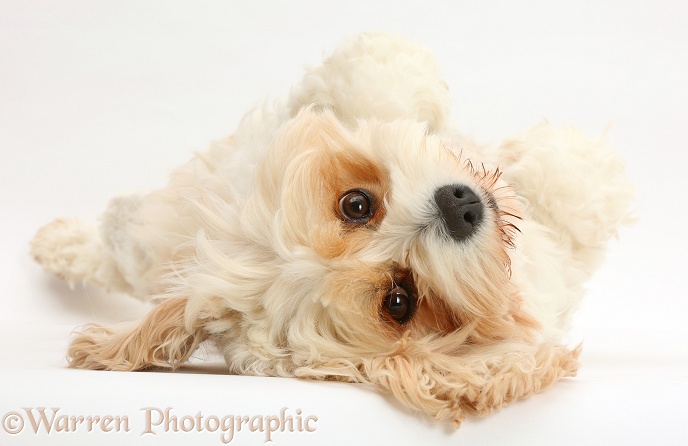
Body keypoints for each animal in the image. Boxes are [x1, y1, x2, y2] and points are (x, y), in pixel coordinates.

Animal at [33, 32, 636, 426]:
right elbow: (572, 184)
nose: (459, 205)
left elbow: (369, 81)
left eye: (356, 204)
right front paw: (570, 159)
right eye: (399, 301)